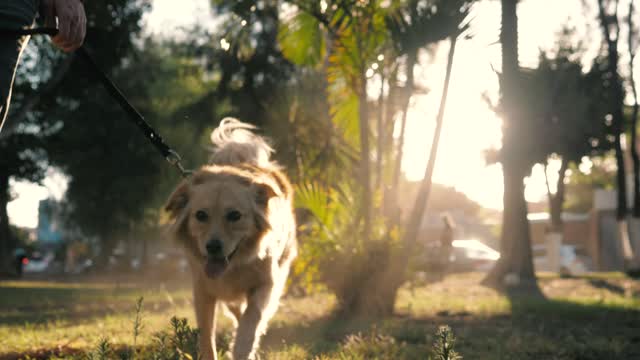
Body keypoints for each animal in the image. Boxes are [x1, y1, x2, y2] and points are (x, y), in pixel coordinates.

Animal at [164, 116, 296, 358]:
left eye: (235, 215)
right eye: (201, 215)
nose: (213, 247)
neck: (236, 265)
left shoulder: (266, 285)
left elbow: (251, 321)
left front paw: (243, 348)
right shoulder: (203, 291)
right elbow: (207, 336)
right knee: (236, 310)